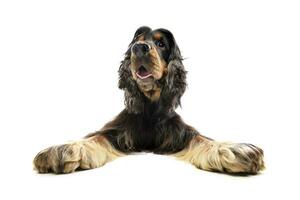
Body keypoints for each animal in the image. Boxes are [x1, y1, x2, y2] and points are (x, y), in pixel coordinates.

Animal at [33, 26, 264, 173]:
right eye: (136, 41)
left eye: (161, 43)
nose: (139, 48)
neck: (150, 108)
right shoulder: (117, 130)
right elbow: (95, 137)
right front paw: (65, 149)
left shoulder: (179, 133)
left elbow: (202, 139)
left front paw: (231, 149)